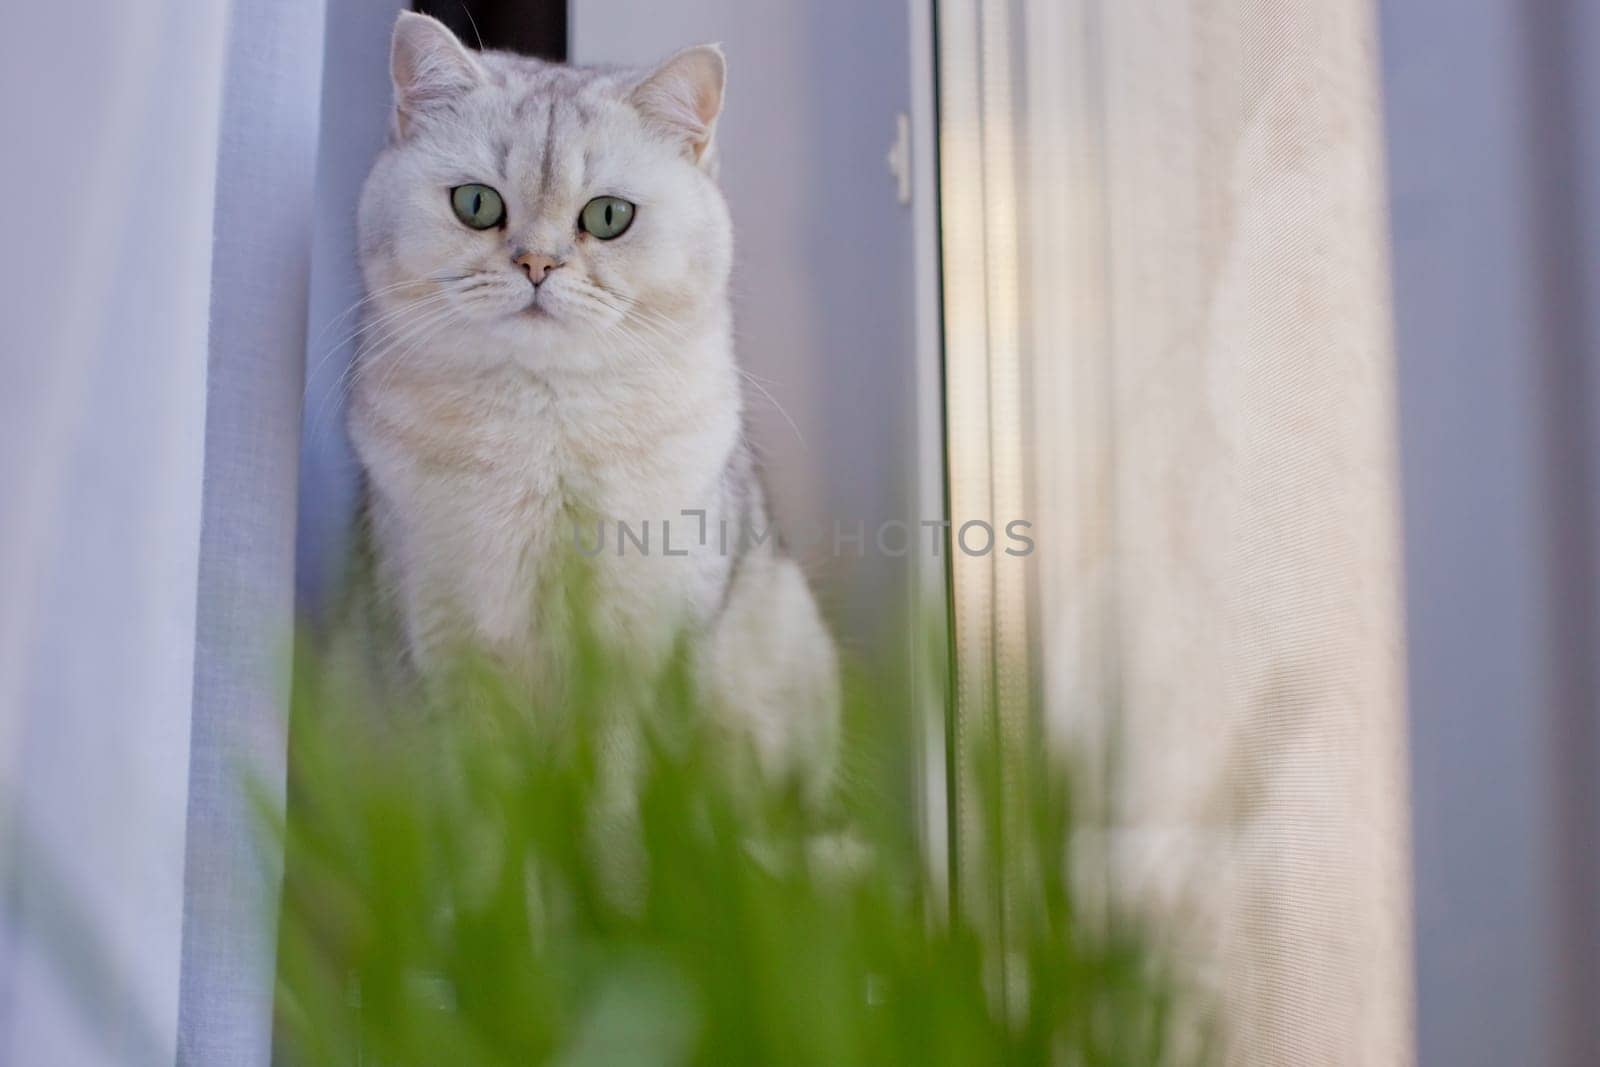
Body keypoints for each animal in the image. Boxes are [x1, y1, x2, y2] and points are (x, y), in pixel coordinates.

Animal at [348, 14, 844, 777]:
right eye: (476, 205)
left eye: (609, 216)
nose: (536, 263)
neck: (543, 426)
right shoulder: (447, 652)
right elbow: (486, 800)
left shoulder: (638, 661)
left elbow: (611, 792)